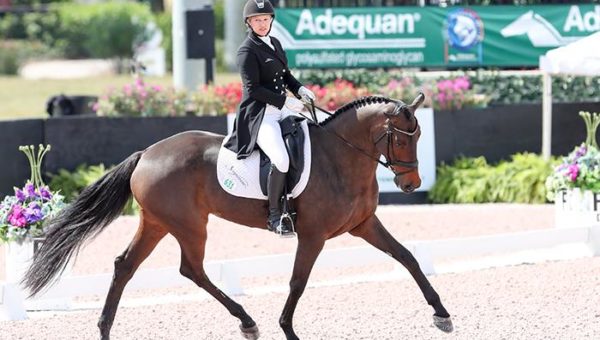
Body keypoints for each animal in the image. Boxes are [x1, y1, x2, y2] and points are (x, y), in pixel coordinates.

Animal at [24, 93, 454, 340]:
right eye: (401, 138)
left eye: (418, 136)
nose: (412, 184)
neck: (340, 157)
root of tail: (146, 153)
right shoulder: (312, 234)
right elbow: (298, 281)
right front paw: (287, 330)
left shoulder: (364, 225)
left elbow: (408, 258)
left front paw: (442, 315)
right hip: (189, 225)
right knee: (191, 270)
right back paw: (247, 321)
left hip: (157, 223)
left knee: (126, 266)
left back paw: (105, 328)